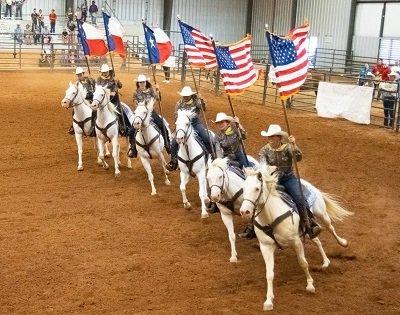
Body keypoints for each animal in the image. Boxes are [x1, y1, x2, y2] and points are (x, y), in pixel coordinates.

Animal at [239, 167, 352, 312]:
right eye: (243, 188)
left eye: (257, 188)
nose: (244, 212)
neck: (270, 217)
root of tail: (305, 183)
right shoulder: (265, 247)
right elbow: (269, 274)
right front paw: (268, 301)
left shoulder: (296, 241)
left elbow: (303, 263)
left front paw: (310, 285)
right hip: (307, 230)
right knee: (317, 240)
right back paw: (325, 261)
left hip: (321, 214)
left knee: (330, 228)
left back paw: (343, 243)